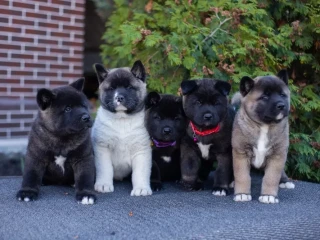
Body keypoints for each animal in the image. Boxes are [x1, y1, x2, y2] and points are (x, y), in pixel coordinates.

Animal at [92, 61, 153, 196]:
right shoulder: (102, 148)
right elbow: (105, 169)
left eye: (129, 87)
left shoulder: (141, 150)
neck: (122, 120)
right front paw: (104, 185)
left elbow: (140, 173)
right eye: (111, 89)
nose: (119, 97)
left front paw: (141, 188)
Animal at [232, 70, 296, 204]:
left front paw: (269, 196)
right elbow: (242, 176)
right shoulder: (241, 153)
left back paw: (285, 181)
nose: (281, 105)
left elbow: (271, 177)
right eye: (265, 97)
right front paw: (242, 194)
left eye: (282, 95)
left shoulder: (277, 155)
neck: (264, 126)